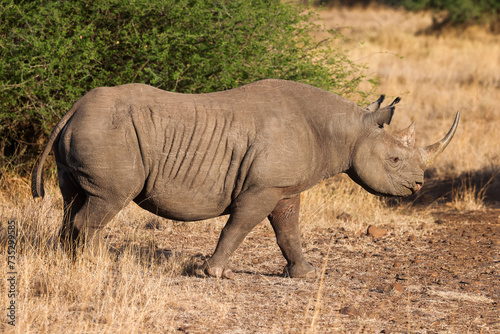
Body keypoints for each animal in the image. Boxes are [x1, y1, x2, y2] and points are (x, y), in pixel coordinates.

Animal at [32, 79, 460, 278]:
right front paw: (215, 272)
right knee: (105, 203)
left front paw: (305, 273)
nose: (417, 187)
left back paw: (68, 261)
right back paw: (97, 264)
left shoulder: (284, 187)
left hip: (91, 130)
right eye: (395, 159)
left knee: (73, 200)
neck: (347, 129)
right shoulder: (262, 187)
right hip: (109, 132)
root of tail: (72, 109)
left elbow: (289, 231)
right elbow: (239, 226)